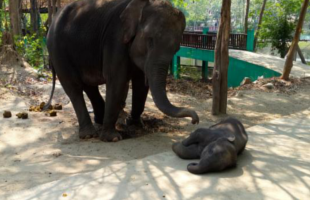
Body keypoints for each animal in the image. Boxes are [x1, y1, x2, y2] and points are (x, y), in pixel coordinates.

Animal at [46, 0, 201, 141]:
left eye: (177, 48)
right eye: (150, 40)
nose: (195, 120)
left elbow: (141, 85)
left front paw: (136, 124)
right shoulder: (115, 39)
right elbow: (117, 82)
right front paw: (113, 138)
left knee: (88, 85)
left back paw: (99, 121)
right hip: (58, 50)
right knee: (73, 86)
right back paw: (89, 134)